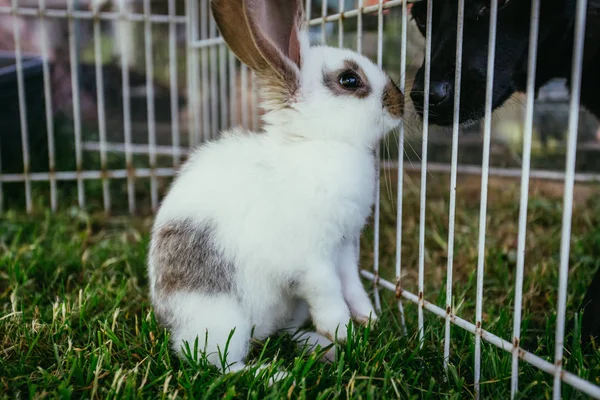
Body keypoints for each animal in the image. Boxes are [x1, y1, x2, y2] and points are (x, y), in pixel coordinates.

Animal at [148, 0, 406, 382]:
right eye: (349, 79)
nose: (400, 102)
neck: (319, 142)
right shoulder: (313, 262)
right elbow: (330, 296)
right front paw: (345, 333)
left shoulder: (344, 248)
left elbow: (352, 287)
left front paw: (368, 320)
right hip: (220, 319)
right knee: (218, 364)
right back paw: (278, 374)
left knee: (284, 333)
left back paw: (318, 349)